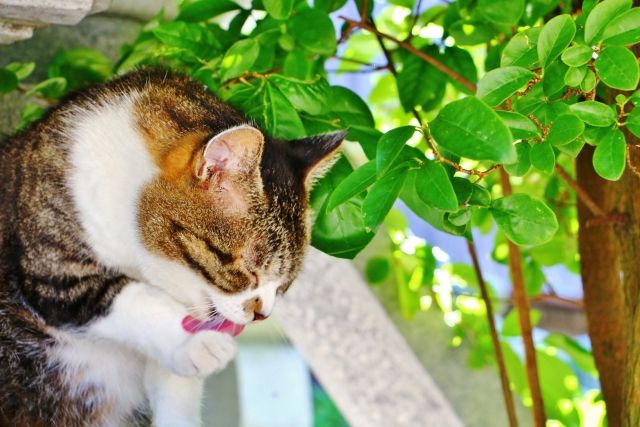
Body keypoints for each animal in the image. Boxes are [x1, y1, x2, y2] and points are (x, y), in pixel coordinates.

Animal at [0, 68, 344, 426]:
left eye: (284, 284)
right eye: (250, 271)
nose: (263, 314)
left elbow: (175, 389)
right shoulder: (50, 265)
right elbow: (125, 296)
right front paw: (195, 342)